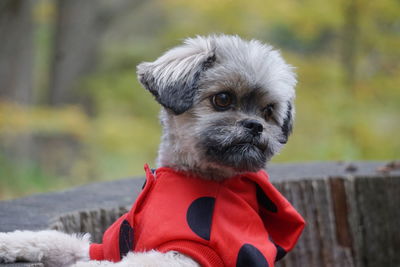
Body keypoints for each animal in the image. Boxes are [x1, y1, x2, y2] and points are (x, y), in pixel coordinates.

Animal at [0, 35, 304, 267]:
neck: (196, 175)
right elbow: (54, 239)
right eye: (222, 99)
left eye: (268, 111)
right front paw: (8, 242)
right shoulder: (105, 246)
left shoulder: (186, 253)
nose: (255, 125)